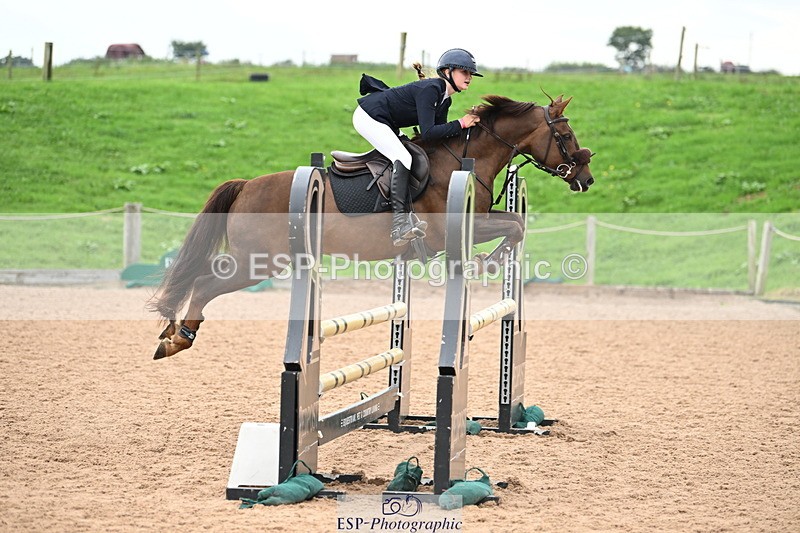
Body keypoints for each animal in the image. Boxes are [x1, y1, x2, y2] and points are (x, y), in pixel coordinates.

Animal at [149, 93, 594, 359]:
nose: (586, 178)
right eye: (567, 134)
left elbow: (515, 222)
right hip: (257, 262)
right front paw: (486, 262)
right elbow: (515, 227)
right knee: (204, 283)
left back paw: (172, 334)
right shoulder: (454, 228)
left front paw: (489, 261)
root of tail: (246, 186)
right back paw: (178, 338)